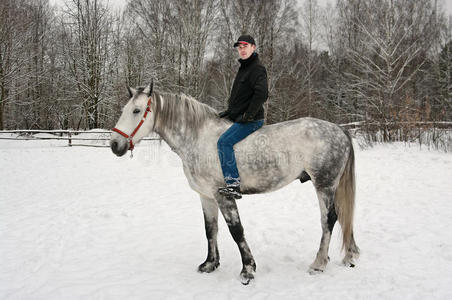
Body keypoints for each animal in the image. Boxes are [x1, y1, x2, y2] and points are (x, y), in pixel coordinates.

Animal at [110, 83, 360, 284]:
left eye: (136, 111)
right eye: (124, 110)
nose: (114, 144)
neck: (198, 138)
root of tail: (339, 129)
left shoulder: (223, 195)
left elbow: (236, 230)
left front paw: (247, 269)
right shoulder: (206, 196)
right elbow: (210, 229)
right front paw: (210, 264)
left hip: (324, 185)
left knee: (329, 220)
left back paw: (318, 264)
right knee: (342, 217)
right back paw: (349, 256)